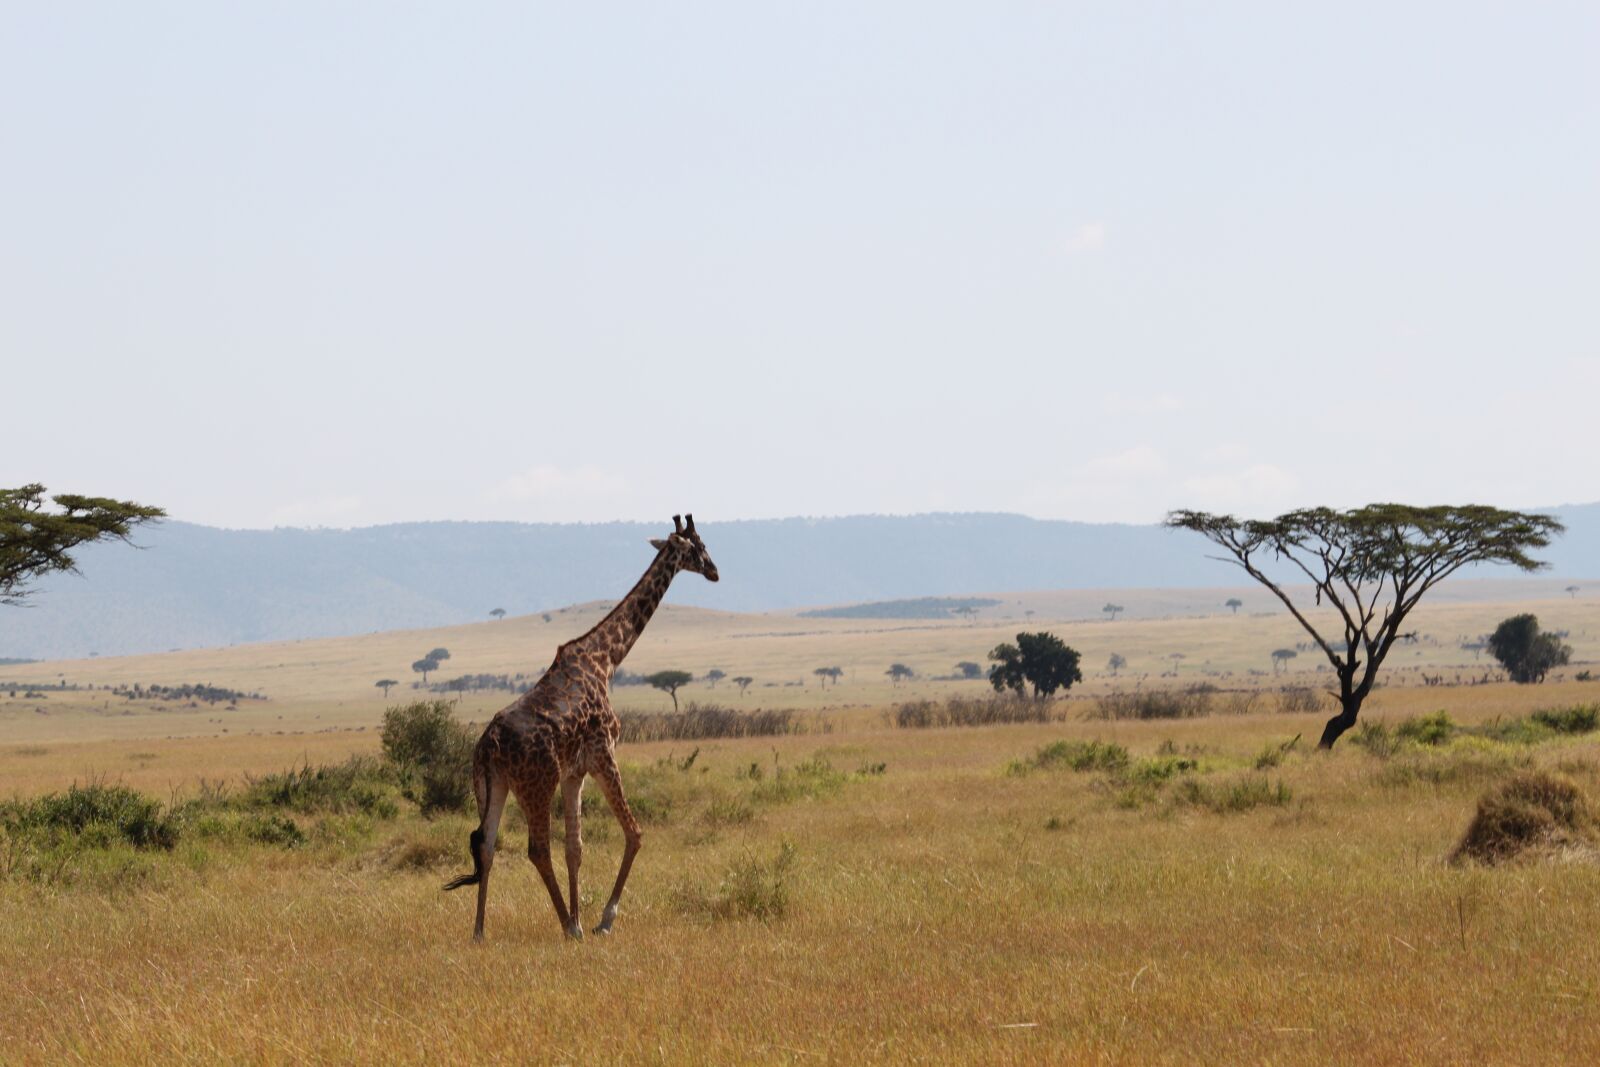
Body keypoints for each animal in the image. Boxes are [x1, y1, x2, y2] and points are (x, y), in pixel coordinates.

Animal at [443, 514, 719, 941]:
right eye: (700, 546)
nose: (715, 572)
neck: (607, 658)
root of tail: (490, 745)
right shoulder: (604, 753)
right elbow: (634, 833)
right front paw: (601, 919)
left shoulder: (575, 773)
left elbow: (576, 848)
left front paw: (580, 915)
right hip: (536, 784)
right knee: (537, 849)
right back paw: (565, 926)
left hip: (491, 784)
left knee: (486, 844)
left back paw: (480, 931)